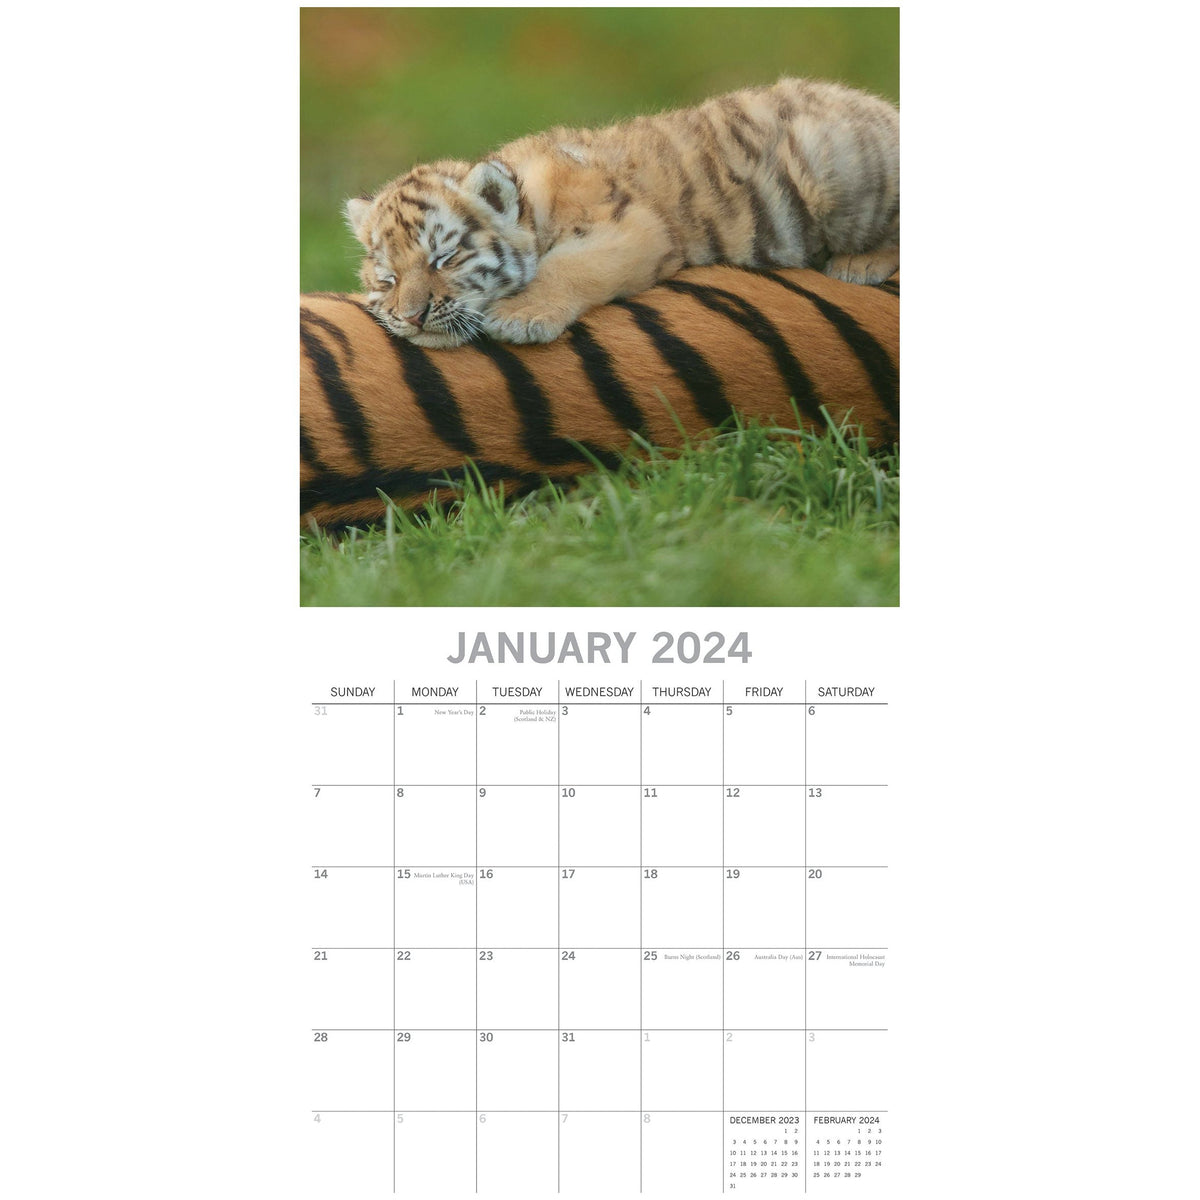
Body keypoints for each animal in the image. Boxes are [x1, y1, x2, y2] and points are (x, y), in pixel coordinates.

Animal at [344, 78, 898, 348]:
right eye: (389, 279)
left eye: (444, 259)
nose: (411, 319)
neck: (534, 206)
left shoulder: (634, 227)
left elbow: (570, 267)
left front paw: (522, 318)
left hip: (834, 166)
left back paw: (860, 263)